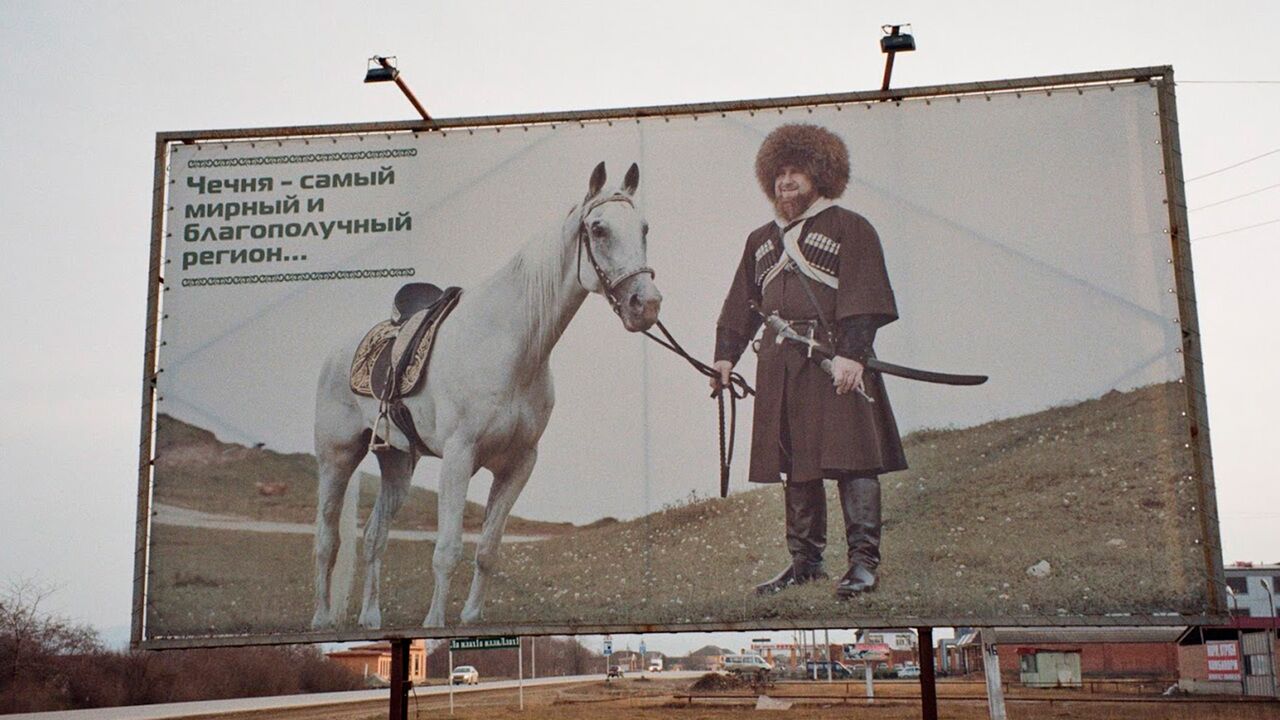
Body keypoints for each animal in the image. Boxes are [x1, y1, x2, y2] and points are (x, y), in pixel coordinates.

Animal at [314, 159, 665, 625]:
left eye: (643, 228)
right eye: (599, 229)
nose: (647, 304)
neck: (508, 345)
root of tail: (337, 352)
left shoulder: (518, 464)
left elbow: (487, 550)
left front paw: (470, 619)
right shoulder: (459, 457)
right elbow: (447, 551)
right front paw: (436, 624)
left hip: (397, 464)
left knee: (374, 536)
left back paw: (371, 617)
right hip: (336, 459)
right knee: (327, 540)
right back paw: (320, 618)